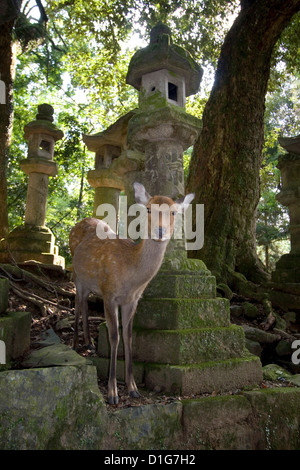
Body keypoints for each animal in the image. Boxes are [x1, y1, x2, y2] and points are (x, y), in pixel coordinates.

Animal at [69, 181, 193, 404]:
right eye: (149, 209)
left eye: (173, 212)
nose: (160, 231)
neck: (131, 277)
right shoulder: (109, 294)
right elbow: (114, 336)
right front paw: (112, 393)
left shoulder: (132, 300)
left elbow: (128, 336)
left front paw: (133, 388)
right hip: (77, 275)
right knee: (77, 302)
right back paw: (75, 344)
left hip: (90, 283)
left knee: (84, 304)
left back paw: (89, 343)